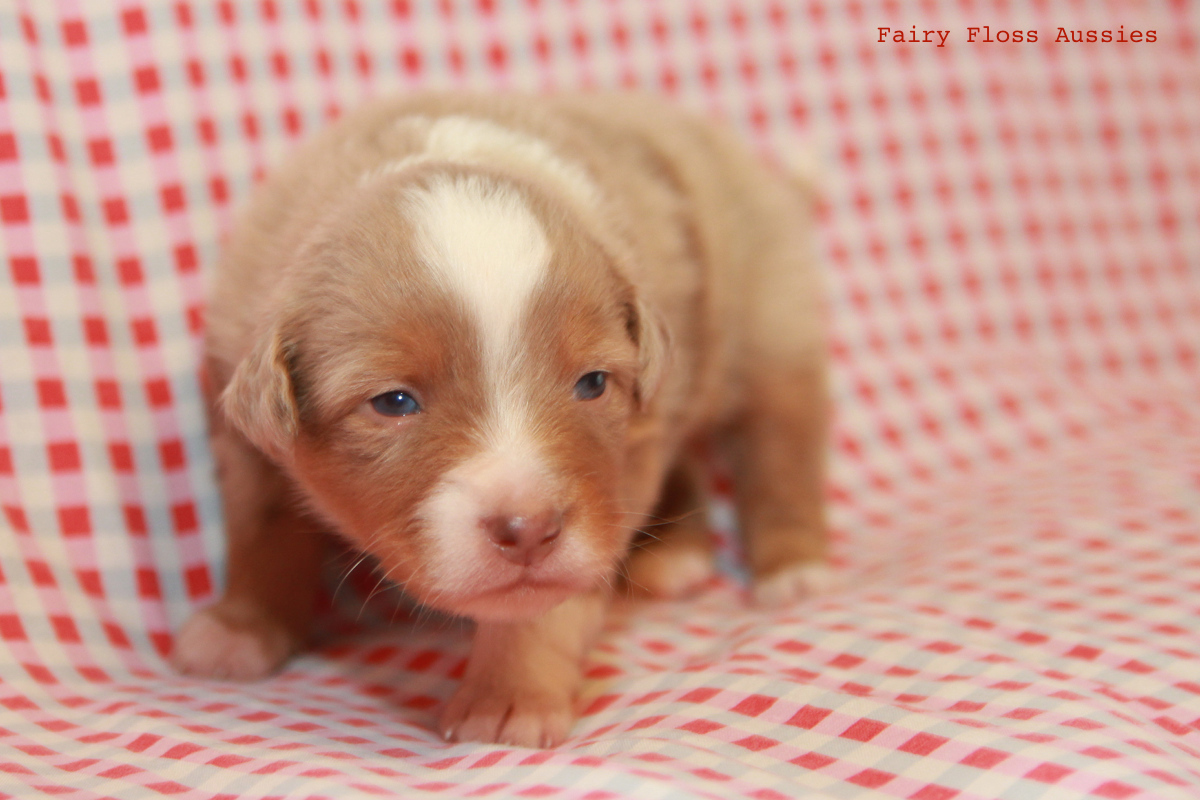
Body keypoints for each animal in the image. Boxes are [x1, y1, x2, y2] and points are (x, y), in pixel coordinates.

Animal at [175, 94, 825, 753]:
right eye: (394, 402)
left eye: (592, 383)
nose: (529, 529)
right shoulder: (238, 404)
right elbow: (262, 524)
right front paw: (241, 625)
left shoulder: (626, 459)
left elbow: (542, 599)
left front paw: (509, 698)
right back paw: (674, 554)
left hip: (769, 317)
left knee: (784, 442)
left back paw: (794, 566)